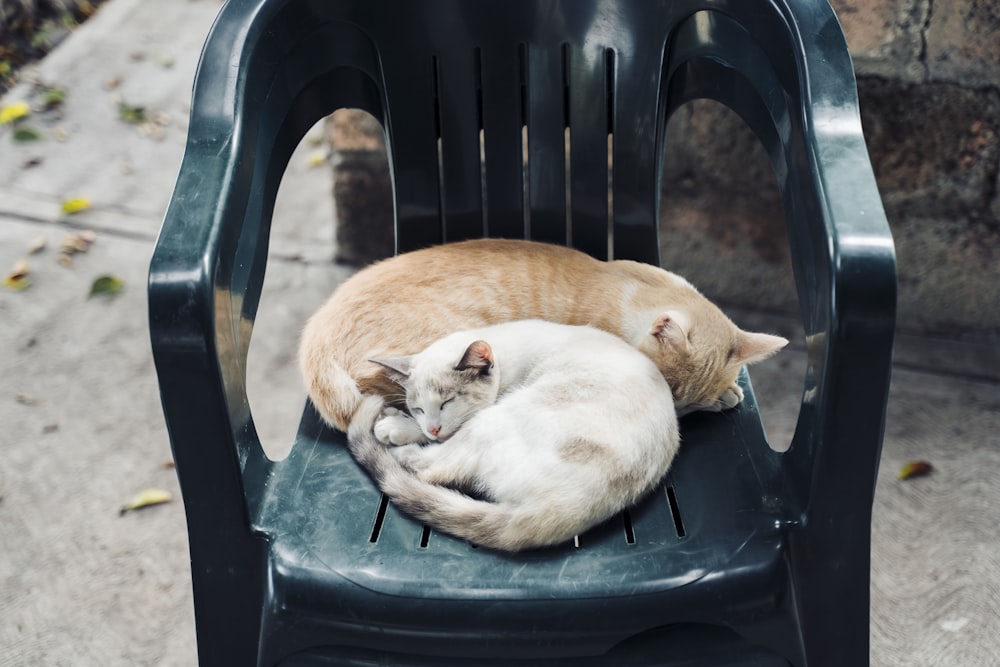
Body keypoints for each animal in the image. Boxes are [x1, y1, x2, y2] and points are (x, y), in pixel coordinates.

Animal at [348, 320, 684, 552]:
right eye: (418, 408)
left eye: (446, 403)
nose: (432, 426)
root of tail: (568, 504)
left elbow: (435, 445)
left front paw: (395, 426)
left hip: (496, 417)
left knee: (431, 469)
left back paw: (391, 439)